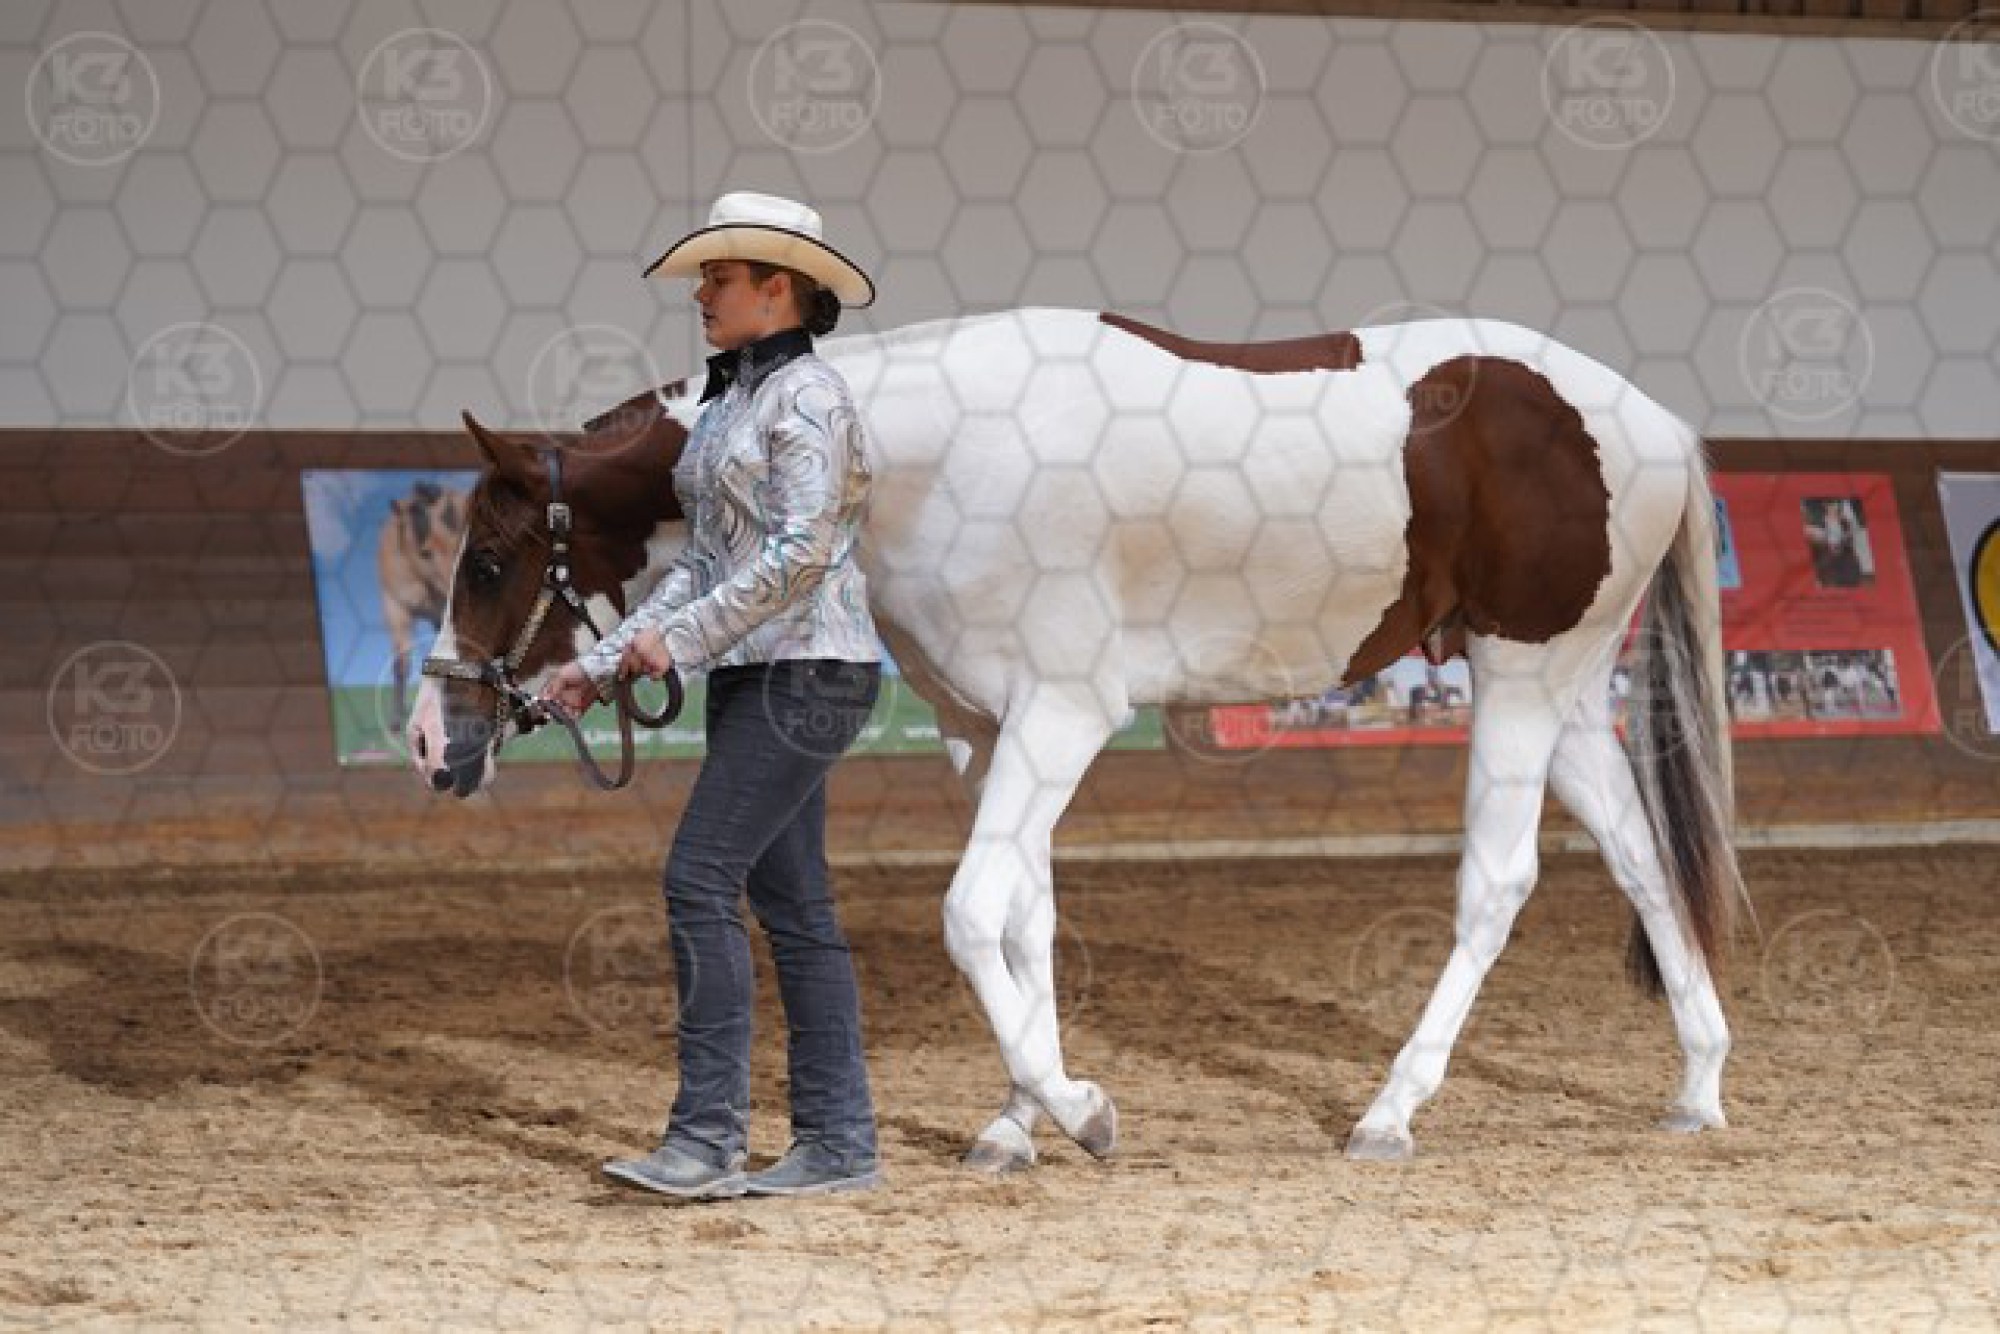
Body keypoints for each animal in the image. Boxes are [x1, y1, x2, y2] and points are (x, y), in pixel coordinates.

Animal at [409, 306, 1747, 1168]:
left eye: (490, 559)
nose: (431, 736)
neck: (929, 452)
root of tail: (1650, 422)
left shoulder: (1061, 717)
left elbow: (966, 913)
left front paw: (1080, 1108)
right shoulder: (986, 730)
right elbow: (1023, 918)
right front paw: (1014, 1120)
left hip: (1518, 679)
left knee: (1495, 884)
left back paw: (1388, 1111)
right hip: (1558, 691)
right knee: (1639, 860)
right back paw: (1695, 1084)